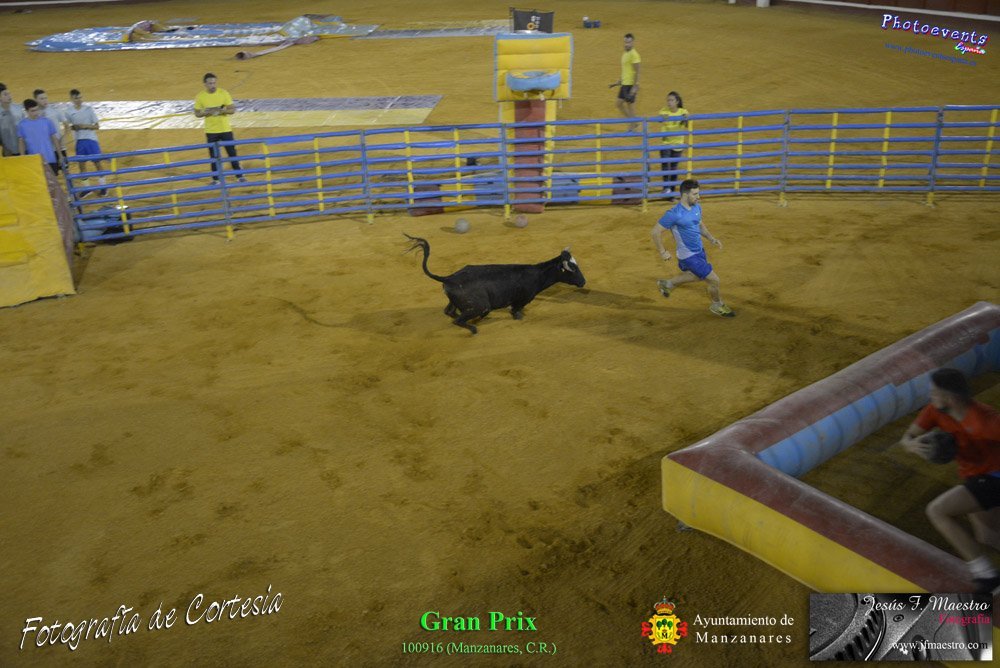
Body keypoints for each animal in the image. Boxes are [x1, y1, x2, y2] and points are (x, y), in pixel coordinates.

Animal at [404, 234, 586, 335]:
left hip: (457, 302)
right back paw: (473, 328)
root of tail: (449, 278)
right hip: (479, 305)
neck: (536, 274)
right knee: (460, 319)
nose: (583, 282)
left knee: (449, 312)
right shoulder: (520, 301)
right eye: (572, 269)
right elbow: (516, 313)